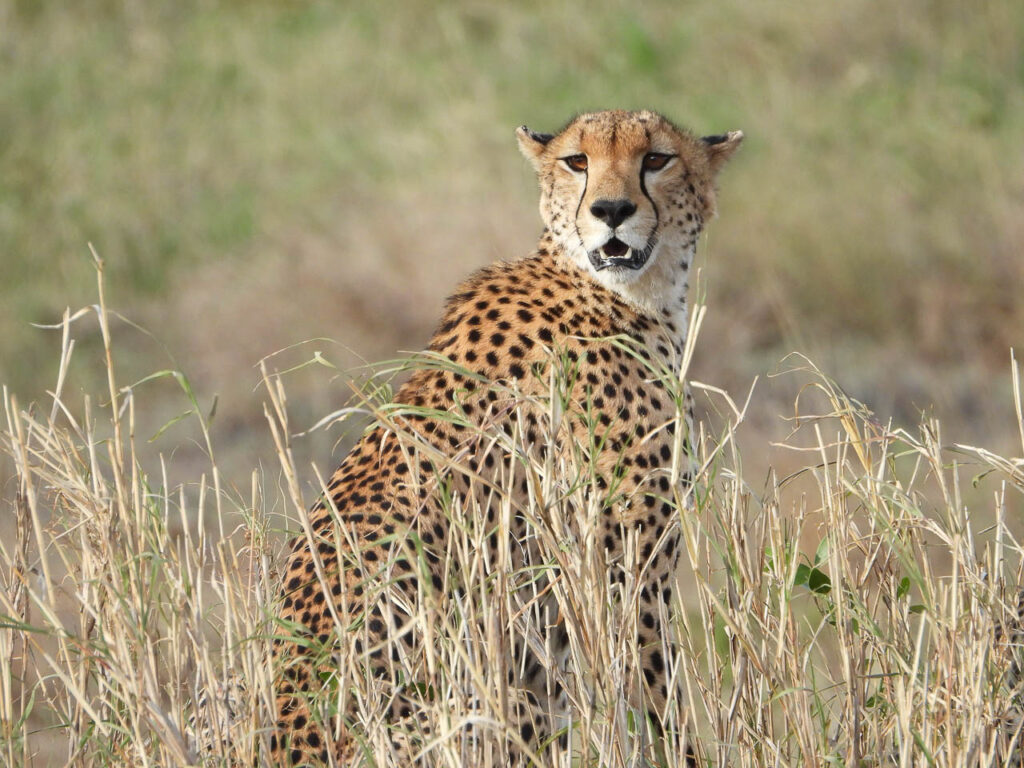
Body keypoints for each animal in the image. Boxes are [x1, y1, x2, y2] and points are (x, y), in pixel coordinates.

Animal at [268, 107, 741, 765]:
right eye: (577, 161)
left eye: (656, 159)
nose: (611, 210)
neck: (622, 293)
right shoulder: (621, 569)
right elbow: (653, 692)